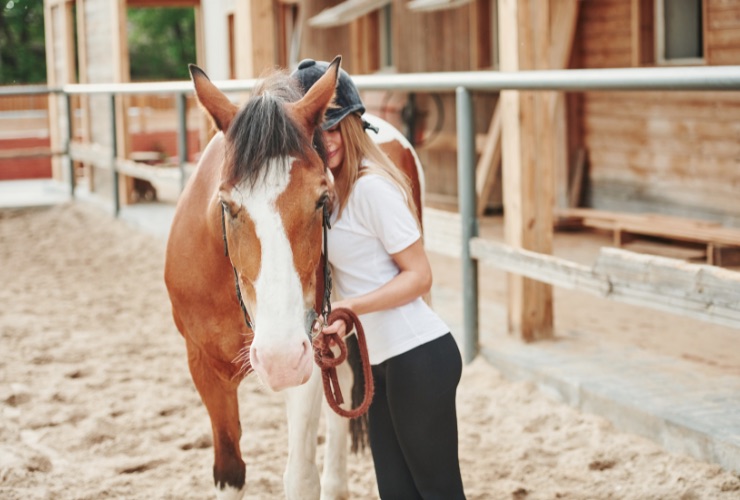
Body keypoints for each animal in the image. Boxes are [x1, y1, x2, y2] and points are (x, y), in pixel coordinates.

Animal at [164, 56, 424, 499]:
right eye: (227, 205)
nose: (278, 359)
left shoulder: (309, 357)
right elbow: (230, 469)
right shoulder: (204, 367)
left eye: (322, 199)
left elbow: (301, 477)